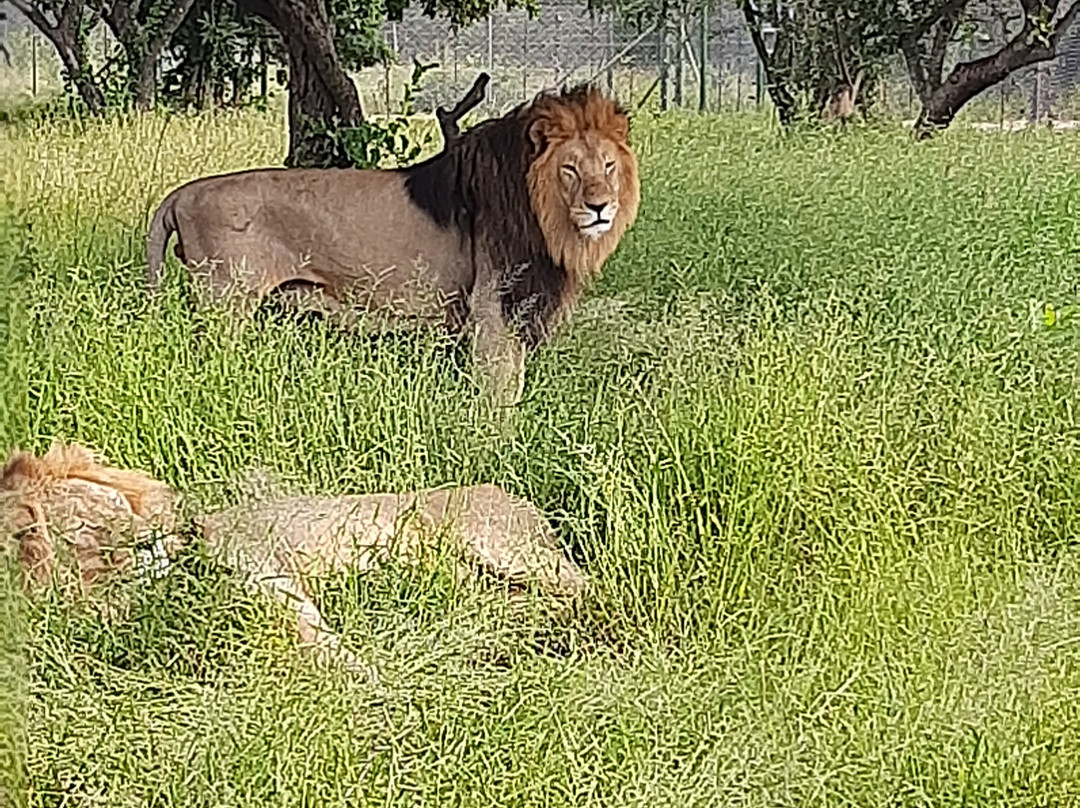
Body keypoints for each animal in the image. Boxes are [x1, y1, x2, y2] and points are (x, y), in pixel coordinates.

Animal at [2, 442, 591, 674]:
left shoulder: (275, 581)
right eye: (81, 539)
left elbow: (330, 646)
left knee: (589, 588)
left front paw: (379, 683)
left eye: (105, 507)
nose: (144, 542)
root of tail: (520, 499)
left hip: (499, 544)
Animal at [149, 82, 643, 404]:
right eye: (570, 169)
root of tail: (181, 194)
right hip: (225, 305)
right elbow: (501, 394)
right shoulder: (492, 311)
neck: (548, 224)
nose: (601, 207)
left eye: (608, 165)